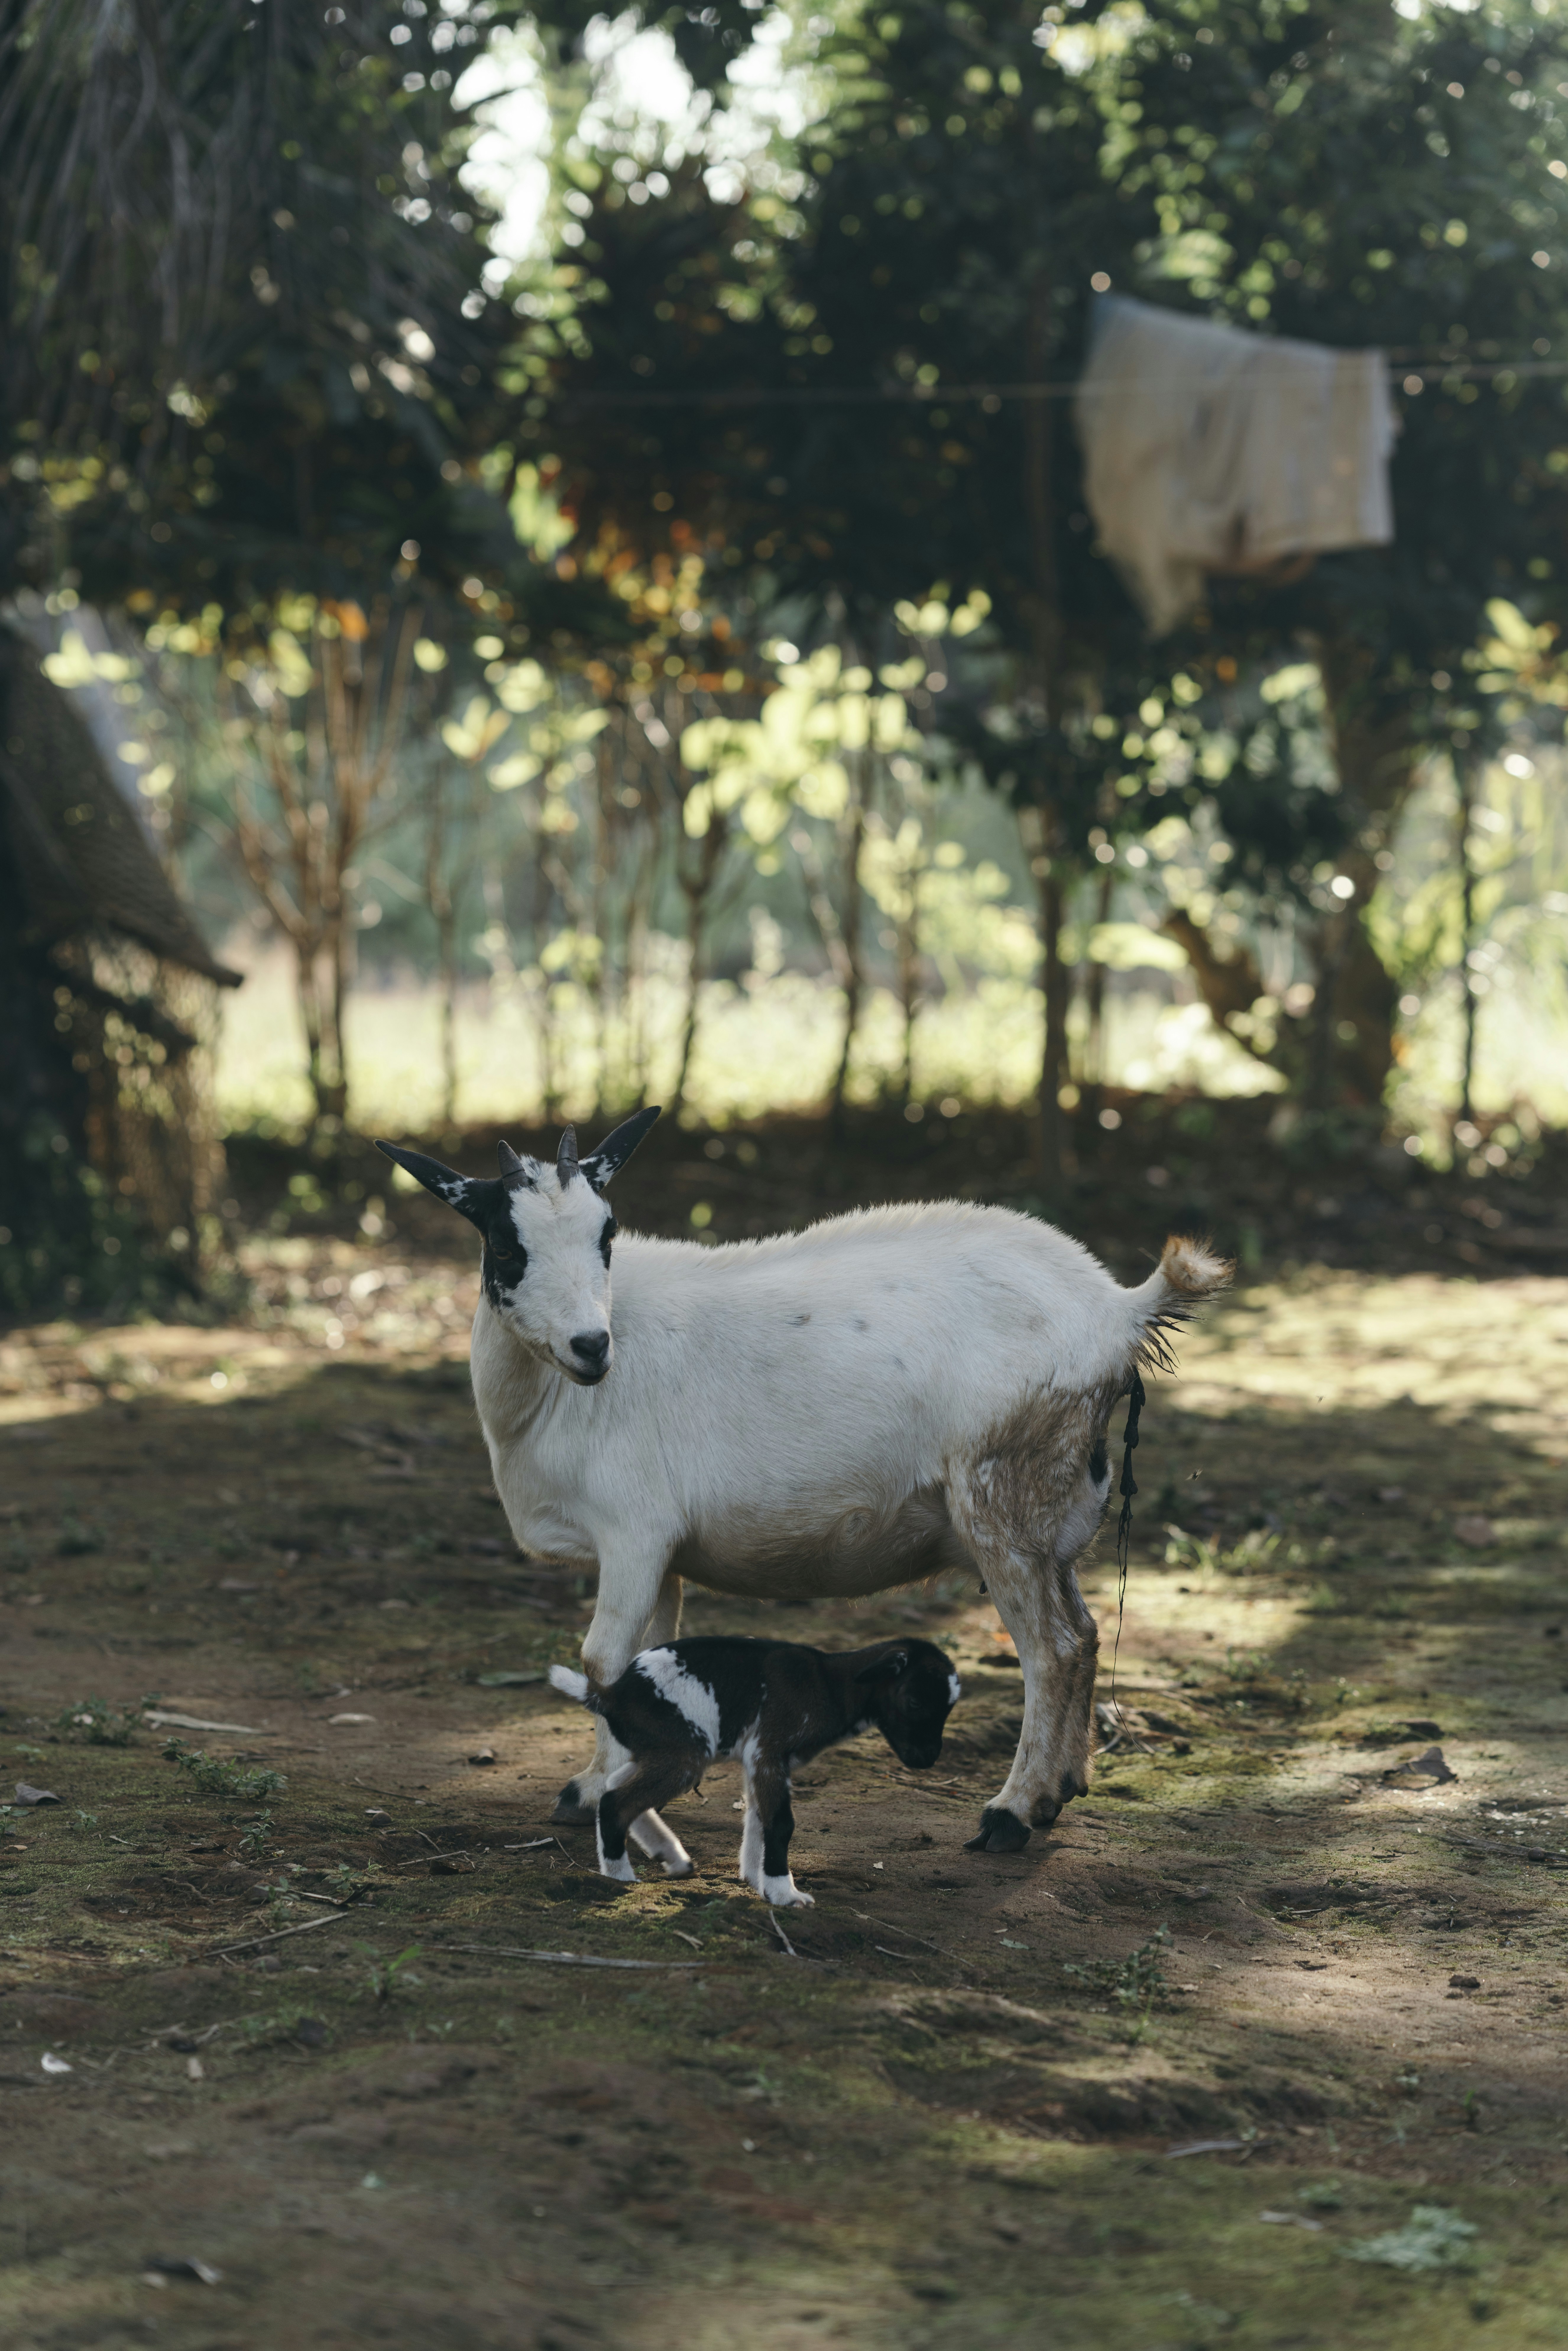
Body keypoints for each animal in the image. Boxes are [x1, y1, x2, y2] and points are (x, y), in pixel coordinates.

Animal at [376, 1112, 1228, 1854]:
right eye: (505, 1241)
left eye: (606, 1234)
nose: (592, 1345)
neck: (547, 1401)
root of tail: (1118, 1310)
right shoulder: (662, 1555)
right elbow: (648, 1661)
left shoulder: (632, 1532)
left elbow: (602, 1662)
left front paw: (596, 1794)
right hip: (1052, 1510)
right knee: (1086, 1633)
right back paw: (1066, 1786)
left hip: (1003, 1499)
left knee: (1053, 1648)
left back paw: (1013, 1813)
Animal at [548, 1634, 960, 1906]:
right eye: (914, 1701)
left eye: (949, 1708)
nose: (928, 1757)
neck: (831, 1684)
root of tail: (611, 1695)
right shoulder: (770, 1750)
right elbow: (780, 1822)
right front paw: (784, 1893)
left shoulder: (760, 1759)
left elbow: (758, 1817)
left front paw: (754, 1878)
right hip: (684, 1751)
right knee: (616, 1800)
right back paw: (621, 1878)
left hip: (658, 1747)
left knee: (615, 1785)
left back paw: (671, 1855)